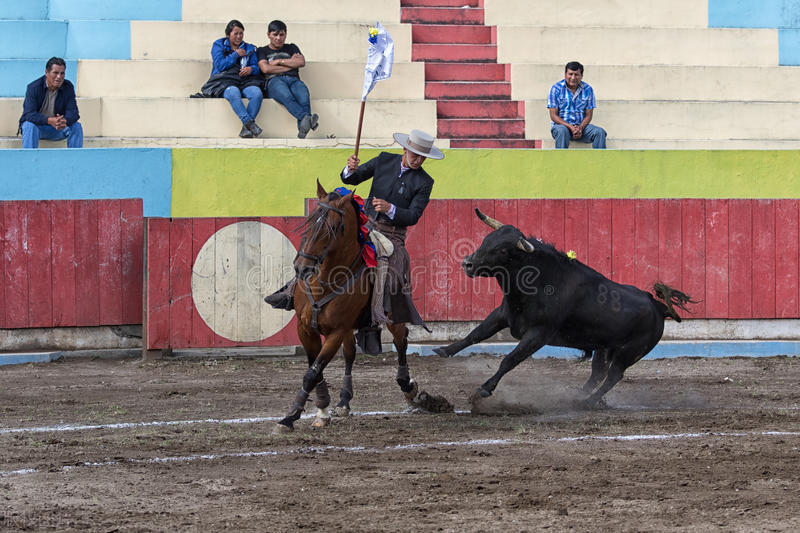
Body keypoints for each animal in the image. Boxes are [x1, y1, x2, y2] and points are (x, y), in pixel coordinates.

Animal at [276, 182, 446, 432]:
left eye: (332, 227)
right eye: (310, 221)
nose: (302, 267)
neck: (325, 280)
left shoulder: (336, 331)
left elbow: (312, 372)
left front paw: (289, 416)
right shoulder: (305, 328)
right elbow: (315, 370)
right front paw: (322, 409)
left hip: (391, 316)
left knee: (401, 340)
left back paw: (408, 386)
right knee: (350, 353)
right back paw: (344, 401)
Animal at [434, 207, 696, 404]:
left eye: (502, 250)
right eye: (486, 240)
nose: (467, 264)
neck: (539, 281)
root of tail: (658, 306)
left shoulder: (539, 333)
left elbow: (510, 359)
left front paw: (485, 388)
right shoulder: (503, 314)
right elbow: (475, 334)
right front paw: (445, 350)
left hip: (630, 352)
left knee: (614, 376)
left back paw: (587, 402)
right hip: (603, 347)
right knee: (598, 373)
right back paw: (577, 396)